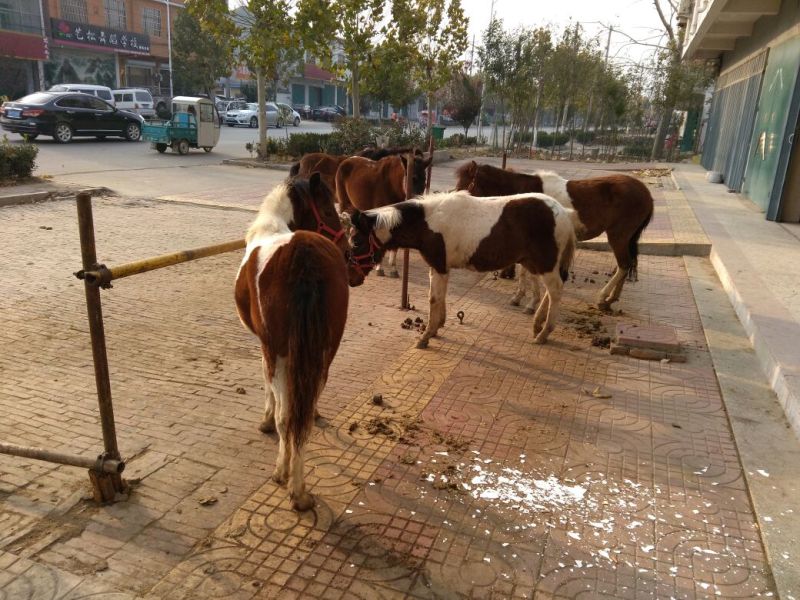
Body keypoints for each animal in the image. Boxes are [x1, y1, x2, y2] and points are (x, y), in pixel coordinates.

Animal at [234, 173, 360, 511]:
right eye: (328, 210)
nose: (348, 248)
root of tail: (304, 255)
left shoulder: (265, 346)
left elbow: (272, 396)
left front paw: (265, 421)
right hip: (325, 352)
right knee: (303, 415)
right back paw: (300, 489)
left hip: (278, 351)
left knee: (286, 418)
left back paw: (286, 477)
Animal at [348, 190, 577, 348]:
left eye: (356, 242)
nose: (352, 279)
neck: (428, 222)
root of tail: (564, 214)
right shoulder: (439, 267)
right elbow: (438, 296)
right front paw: (437, 327)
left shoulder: (439, 266)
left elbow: (434, 298)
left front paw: (426, 336)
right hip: (534, 263)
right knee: (551, 292)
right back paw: (537, 324)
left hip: (545, 264)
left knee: (555, 291)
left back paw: (544, 333)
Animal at [455, 161, 654, 311]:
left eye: (466, 184)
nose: (456, 199)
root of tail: (646, 193)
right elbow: (525, 271)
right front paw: (520, 297)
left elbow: (527, 271)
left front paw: (527, 300)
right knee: (628, 265)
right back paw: (611, 299)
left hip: (618, 236)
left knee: (624, 265)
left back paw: (602, 297)